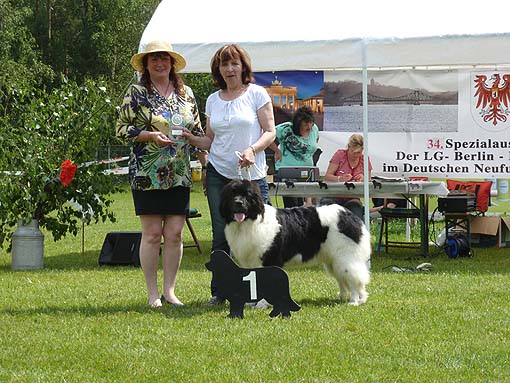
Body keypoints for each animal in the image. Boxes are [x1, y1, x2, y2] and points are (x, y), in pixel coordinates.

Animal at [220, 180, 370, 306]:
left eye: (247, 195)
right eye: (232, 195)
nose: (238, 202)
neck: (250, 221)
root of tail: (349, 214)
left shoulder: (268, 260)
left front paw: (262, 305)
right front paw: (251, 303)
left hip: (346, 258)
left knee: (353, 278)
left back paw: (354, 301)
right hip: (333, 260)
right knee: (343, 278)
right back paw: (346, 297)